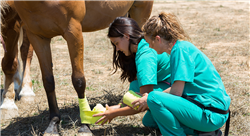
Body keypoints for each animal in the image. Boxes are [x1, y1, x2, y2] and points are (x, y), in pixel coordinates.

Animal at [0, 0, 153, 135]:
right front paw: (53, 124)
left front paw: (85, 124)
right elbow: (48, 81)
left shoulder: (73, 32)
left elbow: (78, 80)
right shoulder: (38, 36)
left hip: (140, 11)